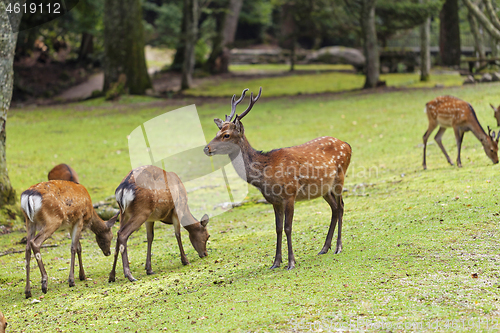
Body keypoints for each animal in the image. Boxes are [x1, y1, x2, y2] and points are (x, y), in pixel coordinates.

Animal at [203, 87, 352, 268]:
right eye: (217, 131)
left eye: (226, 135)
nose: (206, 148)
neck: (264, 175)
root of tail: (347, 145)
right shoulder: (274, 200)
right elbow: (278, 228)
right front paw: (276, 262)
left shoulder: (290, 194)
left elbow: (288, 227)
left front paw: (291, 262)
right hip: (324, 188)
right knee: (335, 208)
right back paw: (324, 248)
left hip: (340, 178)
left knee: (342, 206)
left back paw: (338, 247)